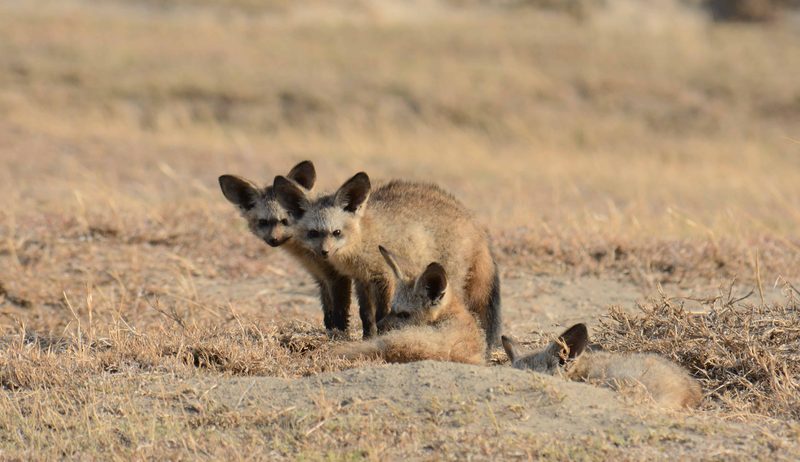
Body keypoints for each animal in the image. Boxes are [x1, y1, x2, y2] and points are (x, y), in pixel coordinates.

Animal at [218, 161, 353, 333]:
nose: (274, 239)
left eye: (285, 221)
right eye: (263, 222)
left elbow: (340, 311)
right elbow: (328, 312)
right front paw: (329, 332)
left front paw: (341, 335)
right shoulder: (321, 277)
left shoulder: (338, 276)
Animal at [272, 171, 501, 344]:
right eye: (313, 233)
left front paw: (381, 336)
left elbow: (382, 313)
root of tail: (473, 221)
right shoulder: (361, 279)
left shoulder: (384, 277)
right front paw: (367, 337)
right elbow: (366, 315)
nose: (324, 253)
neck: (364, 238)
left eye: (336, 232)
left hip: (449, 277)